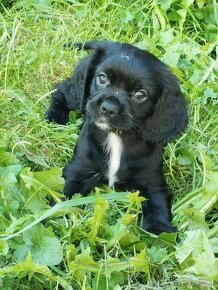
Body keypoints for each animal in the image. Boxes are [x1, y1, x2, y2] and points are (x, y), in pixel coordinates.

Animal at [46, 40, 188, 236]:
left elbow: (158, 207)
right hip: (75, 97)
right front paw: (45, 219)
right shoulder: (78, 169)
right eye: (102, 78)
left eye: (140, 94)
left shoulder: (152, 182)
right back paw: (56, 114)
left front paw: (161, 231)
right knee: (63, 89)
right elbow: (60, 197)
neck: (116, 136)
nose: (108, 108)